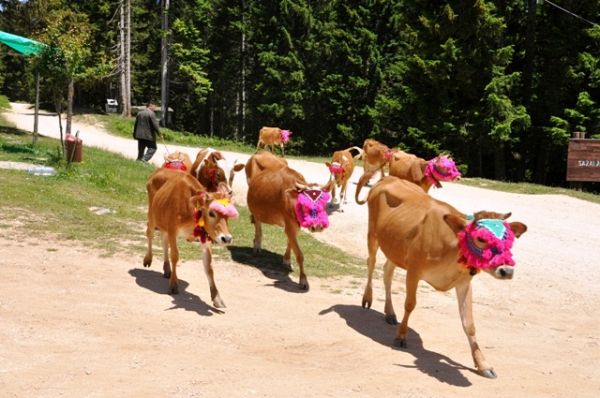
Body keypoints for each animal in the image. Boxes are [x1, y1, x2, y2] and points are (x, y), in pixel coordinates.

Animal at [144, 172, 239, 308]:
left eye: (228, 216)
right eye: (211, 213)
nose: (226, 238)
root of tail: (157, 173)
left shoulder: (205, 237)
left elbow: (208, 266)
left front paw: (217, 297)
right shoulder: (173, 229)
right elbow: (175, 256)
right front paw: (173, 285)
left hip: (164, 224)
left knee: (164, 240)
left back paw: (167, 269)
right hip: (152, 215)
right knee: (150, 233)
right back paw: (148, 259)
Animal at [246, 151, 336, 290]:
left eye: (324, 202)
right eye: (305, 203)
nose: (318, 226)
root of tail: (262, 152)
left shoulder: (294, 224)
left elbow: (290, 242)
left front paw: (287, 260)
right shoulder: (289, 224)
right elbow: (299, 254)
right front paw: (303, 280)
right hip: (255, 207)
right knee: (258, 224)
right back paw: (257, 246)